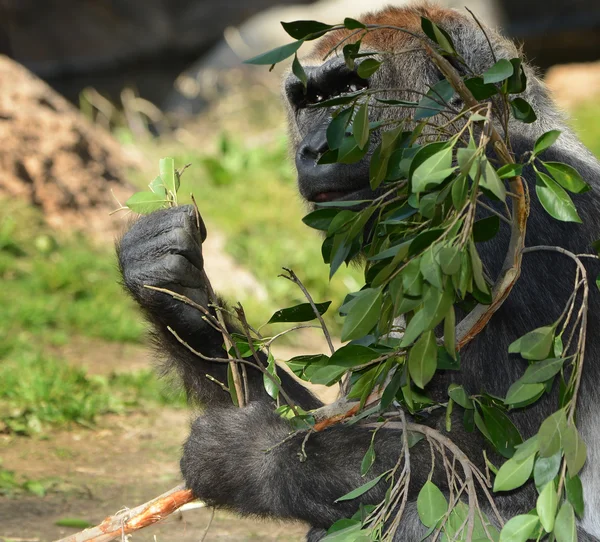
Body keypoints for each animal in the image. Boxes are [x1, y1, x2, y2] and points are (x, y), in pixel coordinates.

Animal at [117, 4, 600, 542]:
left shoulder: (517, 227)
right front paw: (174, 291)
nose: (312, 150)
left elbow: (494, 462)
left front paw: (249, 455)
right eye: (309, 101)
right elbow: (332, 414)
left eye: (351, 90)